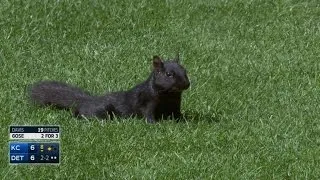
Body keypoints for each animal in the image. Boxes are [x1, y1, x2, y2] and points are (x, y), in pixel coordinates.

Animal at [29, 54, 190, 123]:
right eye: (169, 74)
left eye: (185, 70)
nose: (187, 84)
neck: (169, 95)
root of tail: (85, 101)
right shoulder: (146, 101)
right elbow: (147, 114)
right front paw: (155, 124)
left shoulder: (175, 105)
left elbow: (177, 115)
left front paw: (184, 121)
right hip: (100, 110)